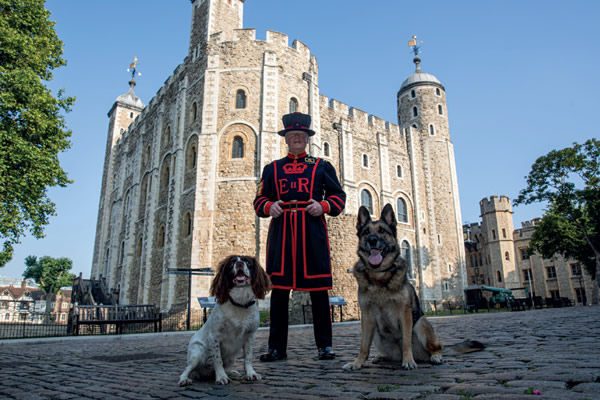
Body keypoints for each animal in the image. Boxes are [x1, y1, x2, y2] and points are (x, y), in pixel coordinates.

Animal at [178, 255, 272, 386]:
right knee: (187, 369)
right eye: (231, 263)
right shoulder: (214, 337)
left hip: (232, 356)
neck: (240, 302)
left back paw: (232, 373)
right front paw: (221, 377)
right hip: (197, 353)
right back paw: (184, 379)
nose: (239, 263)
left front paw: (250, 373)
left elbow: (248, 357)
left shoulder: (250, 336)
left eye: (248, 262)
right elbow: (218, 360)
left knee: (227, 366)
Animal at [342, 205, 482, 370]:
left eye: (382, 231)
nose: (372, 240)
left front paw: (408, 361)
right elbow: (364, 346)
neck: (379, 274)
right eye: (366, 232)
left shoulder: (405, 313)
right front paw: (357, 363)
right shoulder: (367, 316)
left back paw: (434, 357)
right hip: (377, 333)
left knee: (437, 347)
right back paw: (381, 356)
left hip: (421, 324)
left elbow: (406, 341)